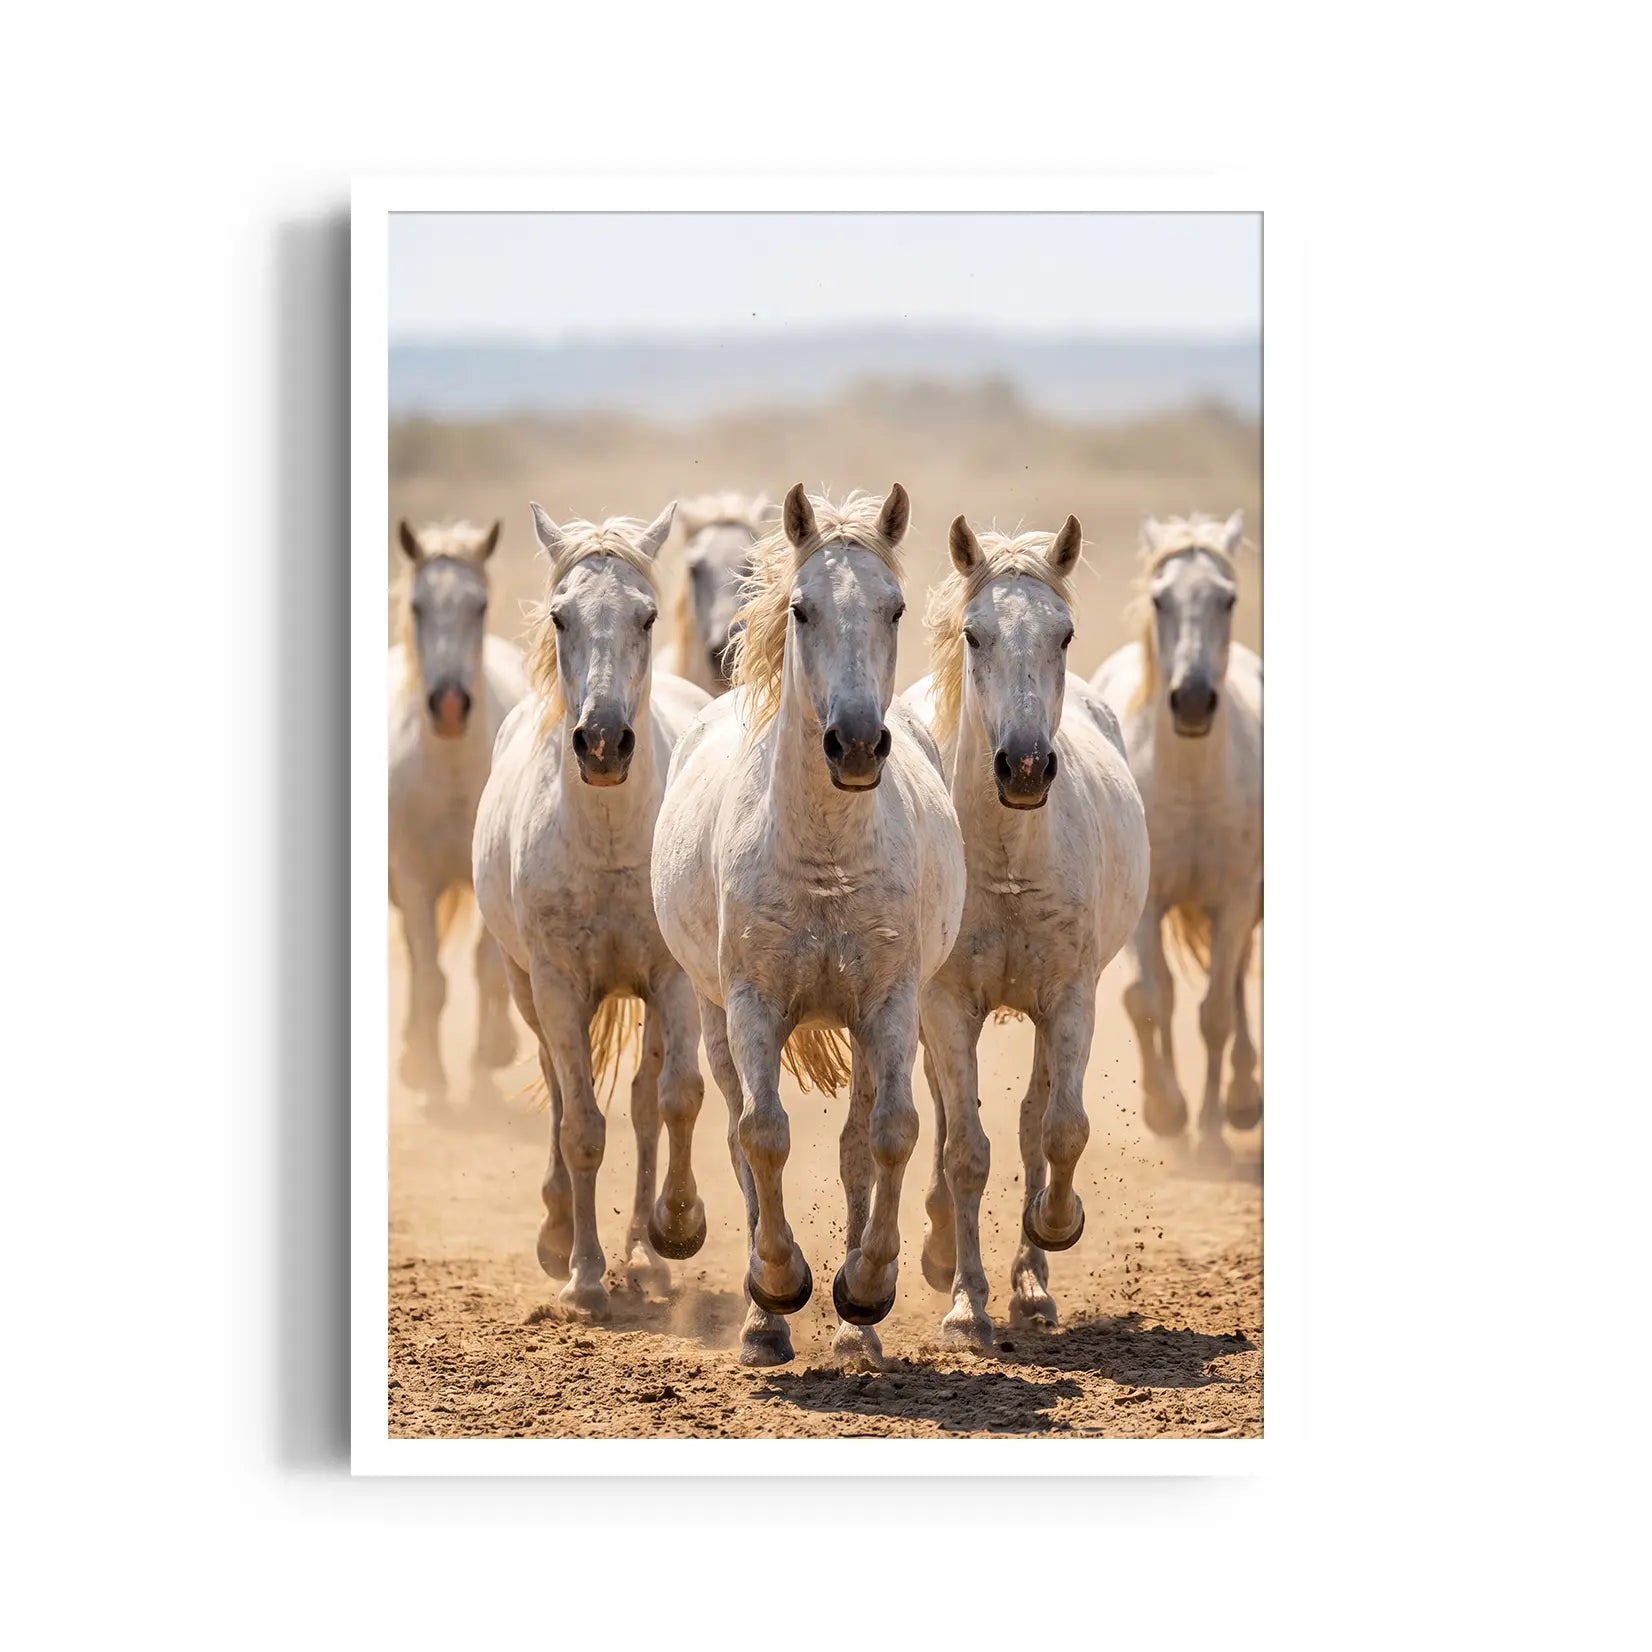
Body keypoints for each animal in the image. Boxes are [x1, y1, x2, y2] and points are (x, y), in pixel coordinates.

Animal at [472, 503, 714, 1321]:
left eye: (646, 616)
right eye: (560, 616)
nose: (604, 743)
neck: (608, 838)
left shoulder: (673, 979)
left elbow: (676, 1098)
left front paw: (676, 1230)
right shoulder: (555, 985)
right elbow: (579, 1125)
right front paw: (581, 1276)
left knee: (643, 1104)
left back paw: (647, 1255)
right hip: (525, 987)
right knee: (556, 1090)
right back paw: (561, 1234)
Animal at [899, 514, 1149, 1347]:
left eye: (1063, 634)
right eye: (974, 634)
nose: (1028, 767)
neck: (1008, 862)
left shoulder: (1069, 999)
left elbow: (1059, 1129)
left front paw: (1053, 1230)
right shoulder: (944, 1006)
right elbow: (964, 1150)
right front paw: (965, 1303)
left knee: (1034, 1119)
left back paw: (1032, 1281)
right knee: (949, 1118)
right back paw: (943, 1248)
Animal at [1091, 511, 1263, 1161]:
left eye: (1228, 598)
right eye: (1161, 599)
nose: (1191, 700)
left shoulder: (1236, 899)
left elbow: (1214, 1012)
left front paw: (1214, 1123)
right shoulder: (1147, 903)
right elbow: (1149, 998)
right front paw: (1166, 1112)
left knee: (1232, 986)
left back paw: (1240, 1098)